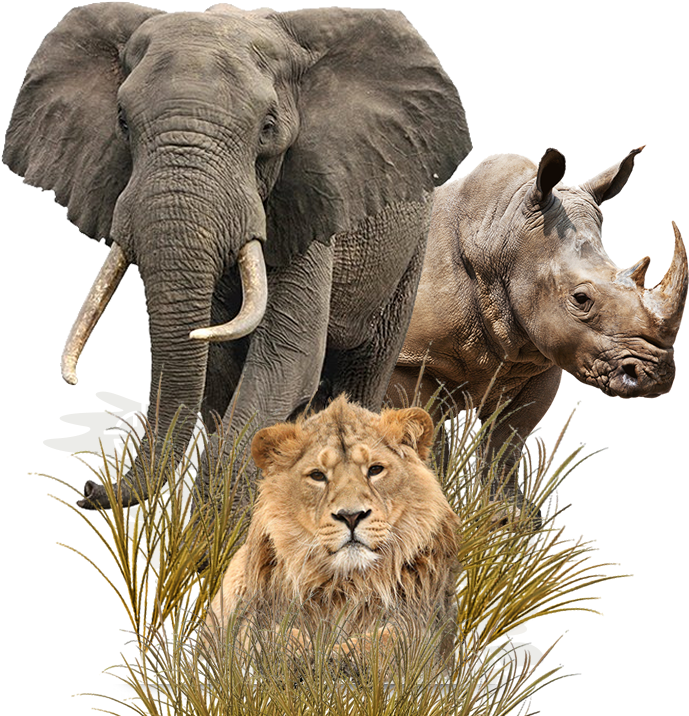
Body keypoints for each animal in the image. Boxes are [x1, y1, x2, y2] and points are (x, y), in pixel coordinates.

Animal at [3, 3, 471, 509]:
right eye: (123, 122)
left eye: (267, 128)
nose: (91, 491)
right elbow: (219, 359)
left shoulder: (307, 199)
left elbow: (288, 352)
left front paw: (226, 490)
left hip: (411, 250)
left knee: (364, 368)